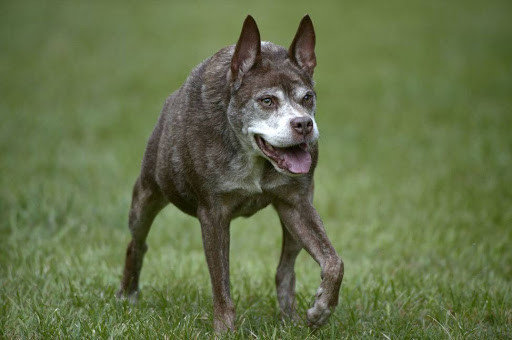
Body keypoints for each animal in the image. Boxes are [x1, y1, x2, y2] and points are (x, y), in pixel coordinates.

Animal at [117, 15, 344, 332]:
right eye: (267, 100)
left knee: (285, 268)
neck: (252, 156)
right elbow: (220, 283)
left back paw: (291, 317)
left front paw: (322, 309)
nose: (303, 124)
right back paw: (127, 294)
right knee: (136, 243)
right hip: (146, 196)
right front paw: (224, 330)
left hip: (294, 215)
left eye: (308, 97)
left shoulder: (297, 204)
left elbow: (334, 262)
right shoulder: (213, 214)